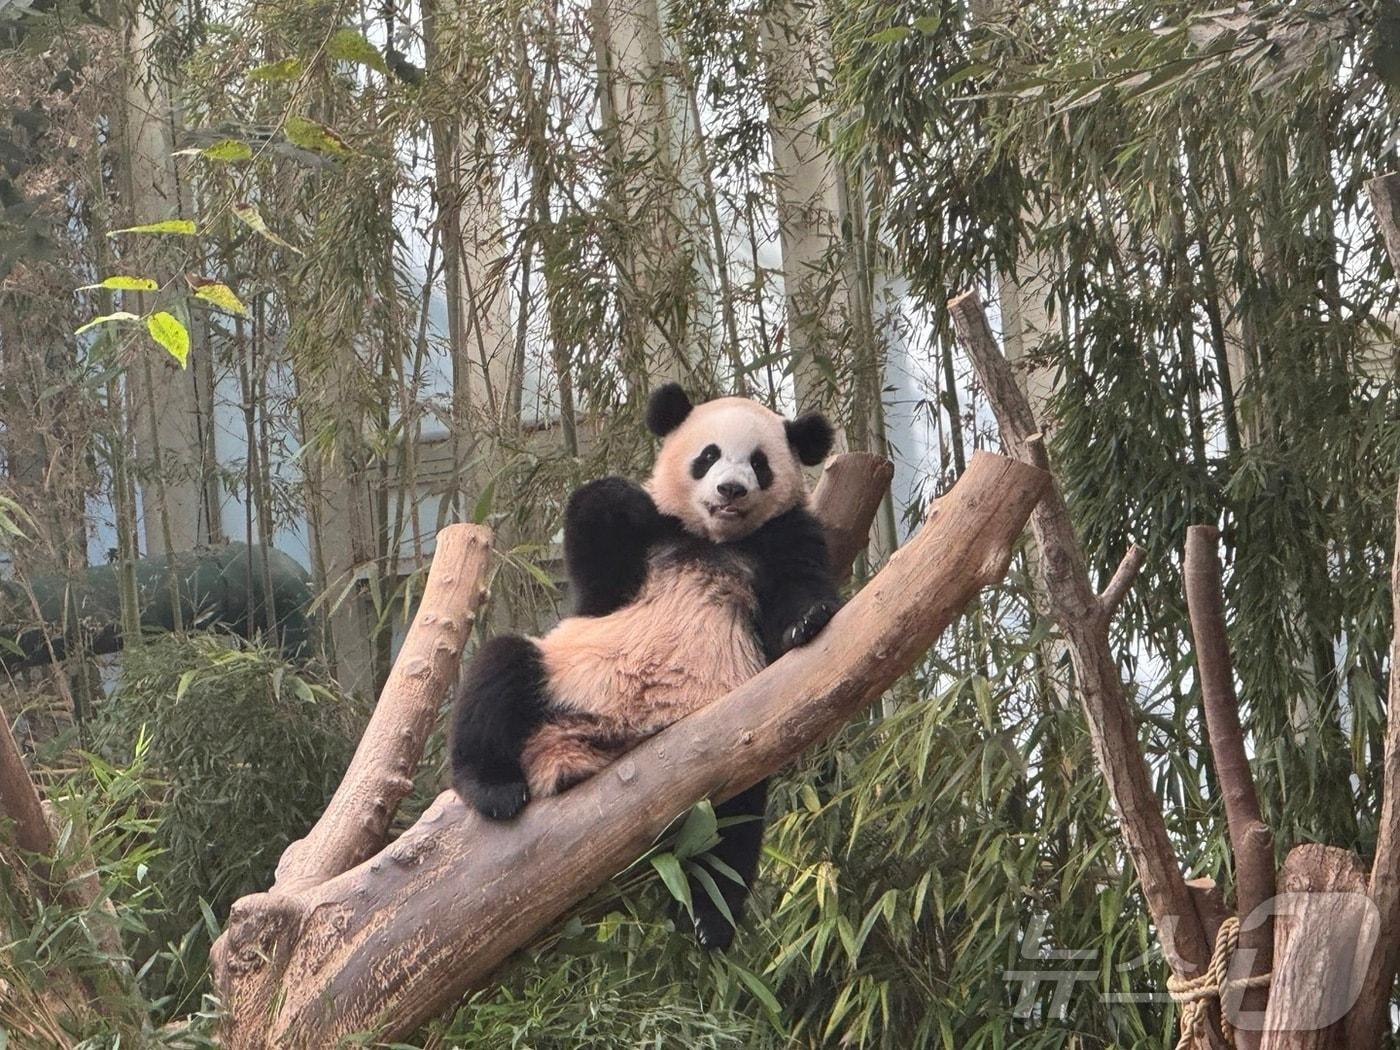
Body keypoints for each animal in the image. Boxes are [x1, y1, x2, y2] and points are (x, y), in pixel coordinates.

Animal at [453, 386, 834, 952]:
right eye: (709, 455)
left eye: (759, 464)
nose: (731, 489)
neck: (713, 542)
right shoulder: (637, 556)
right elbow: (598, 574)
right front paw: (623, 495)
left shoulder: (786, 536)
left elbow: (800, 587)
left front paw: (808, 621)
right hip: (563, 677)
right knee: (499, 671)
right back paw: (493, 789)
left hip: (726, 757)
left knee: (730, 829)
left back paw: (709, 922)